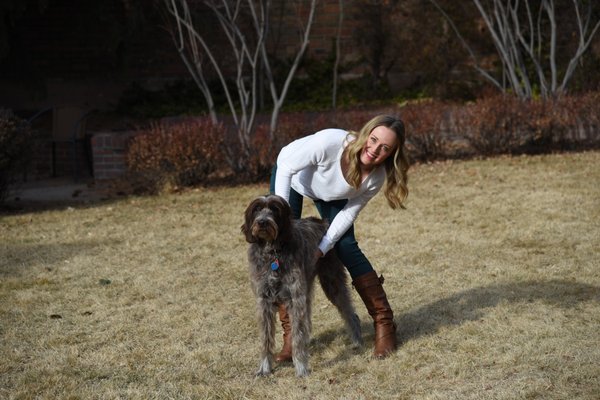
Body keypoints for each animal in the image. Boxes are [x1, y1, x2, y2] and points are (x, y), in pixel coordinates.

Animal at [241, 195, 364, 376]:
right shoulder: (263, 301)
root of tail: (323, 222)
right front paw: (264, 368)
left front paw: (300, 367)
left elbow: (297, 335)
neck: (273, 253)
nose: (263, 222)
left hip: (331, 282)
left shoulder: (295, 298)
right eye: (257, 209)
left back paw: (357, 340)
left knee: (349, 312)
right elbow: (266, 338)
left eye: (274, 209)